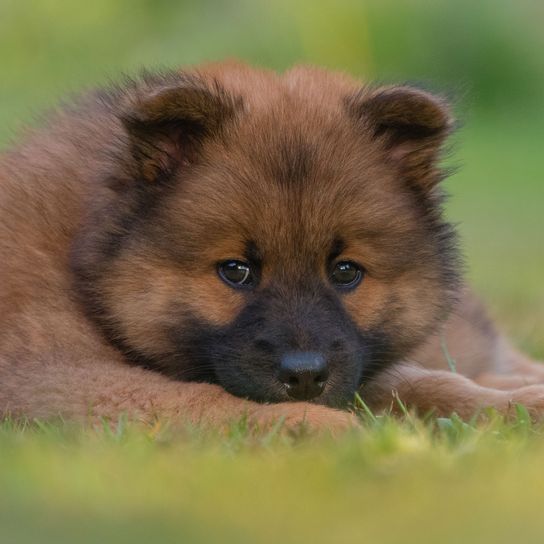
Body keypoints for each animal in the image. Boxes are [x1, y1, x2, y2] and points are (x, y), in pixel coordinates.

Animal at [1, 61, 544, 432]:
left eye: (345, 271)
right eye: (235, 270)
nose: (304, 377)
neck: (86, 261)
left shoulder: (355, 359)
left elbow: (422, 380)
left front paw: (513, 407)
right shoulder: (54, 376)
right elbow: (201, 400)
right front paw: (322, 424)